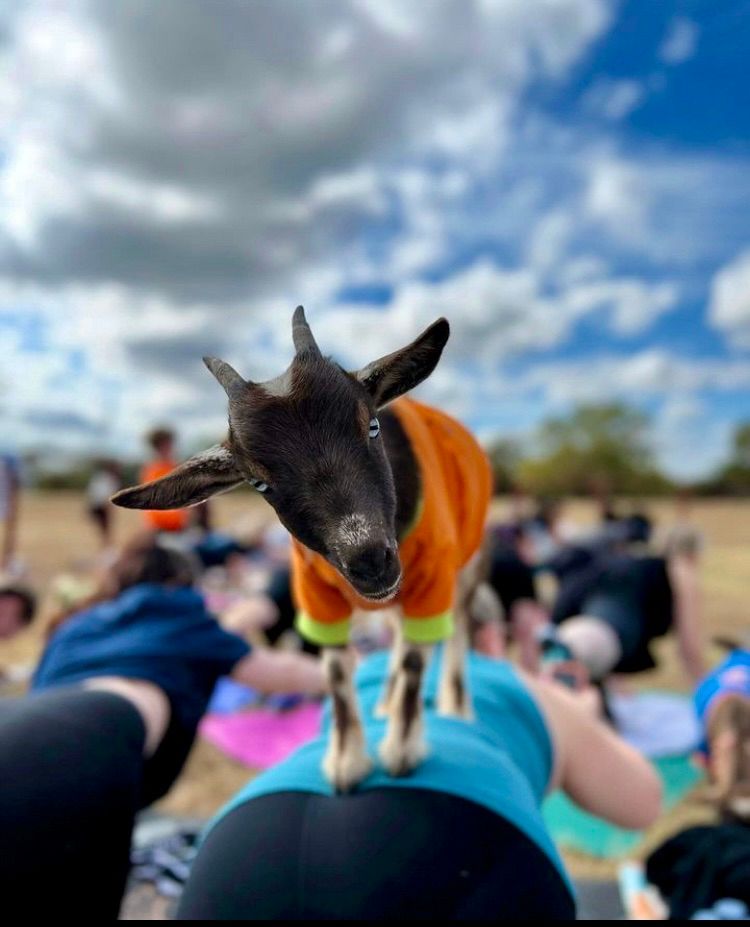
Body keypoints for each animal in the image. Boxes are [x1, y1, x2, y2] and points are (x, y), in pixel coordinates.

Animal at [113, 306, 494, 792]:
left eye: (371, 426)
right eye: (259, 483)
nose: (370, 560)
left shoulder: (433, 577)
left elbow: (415, 657)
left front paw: (403, 752)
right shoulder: (317, 598)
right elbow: (336, 669)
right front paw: (347, 761)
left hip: (467, 564)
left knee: (457, 629)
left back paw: (456, 707)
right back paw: (387, 701)